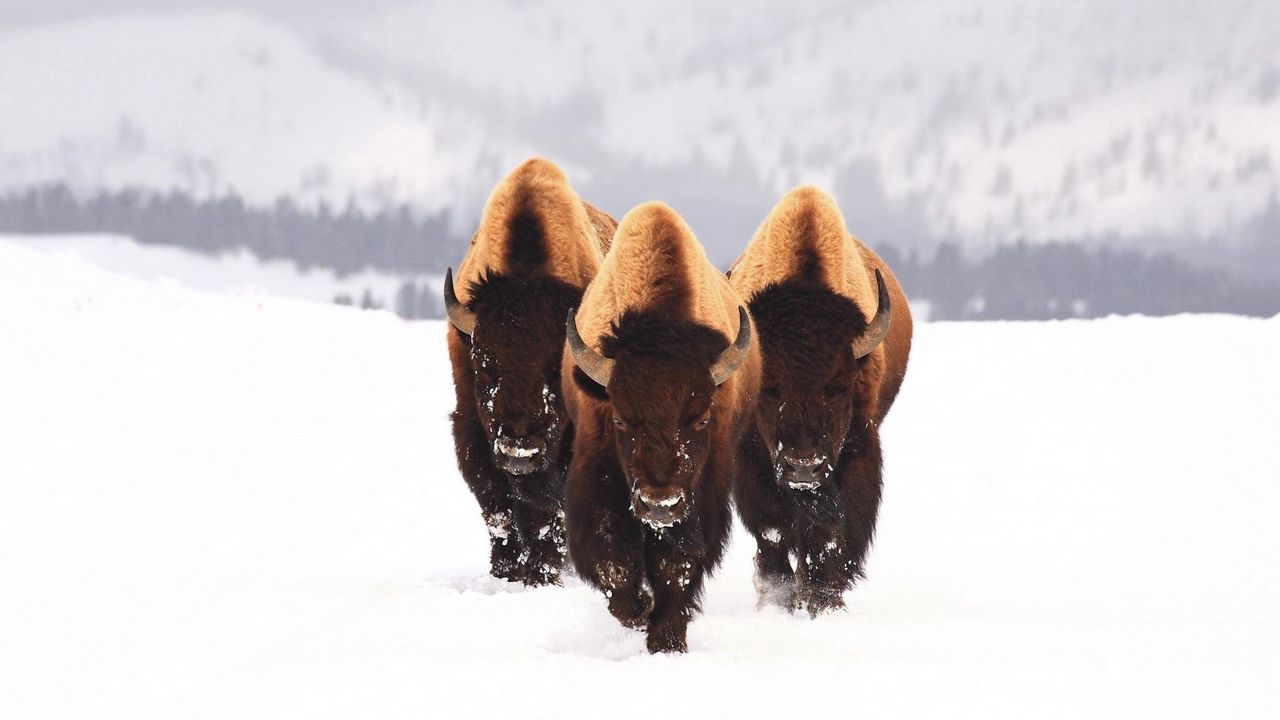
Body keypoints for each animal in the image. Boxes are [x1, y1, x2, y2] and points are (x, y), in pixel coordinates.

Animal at [445, 156, 614, 584]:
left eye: (556, 372)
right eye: (483, 366)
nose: (520, 451)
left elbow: (546, 514)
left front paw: (544, 574)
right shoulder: (471, 428)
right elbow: (498, 506)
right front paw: (506, 571)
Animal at [563, 199, 757, 650]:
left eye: (700, 418)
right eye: (620, 418)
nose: (660, 504)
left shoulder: (703, 490)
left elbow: (677, 564)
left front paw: (666, 638)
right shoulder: (597, 472)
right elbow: (613, 558)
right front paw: (639, 611)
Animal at [732, 183, 911, 609]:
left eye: (839, 387)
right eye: (768, 389)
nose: (803, 468)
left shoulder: (856, 454)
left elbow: (828, 540)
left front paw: (824, 602)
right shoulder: (752, 464)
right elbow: (773, 534)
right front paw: (778, 600)